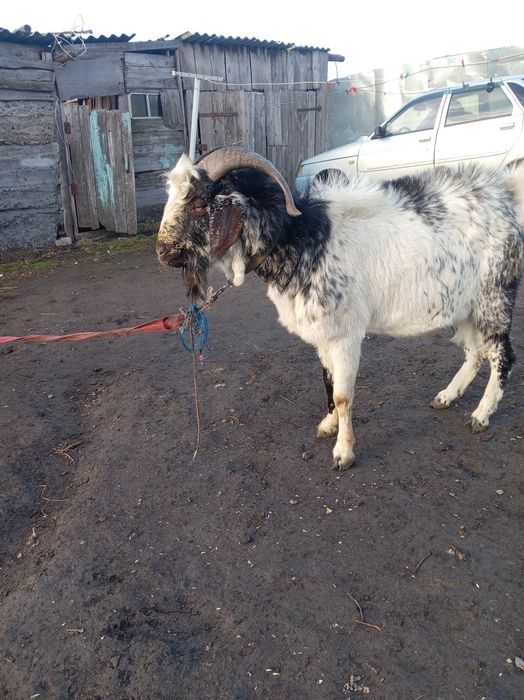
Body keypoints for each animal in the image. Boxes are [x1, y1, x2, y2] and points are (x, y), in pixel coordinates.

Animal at [157, 147, 524, 469]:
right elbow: (329, 386)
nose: (162, 251)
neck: (303, 237)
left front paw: (343, 454)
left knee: (502, 354)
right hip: (464, 306)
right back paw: (447, 396)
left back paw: (481, 415)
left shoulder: (346, 334)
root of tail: (506, 198)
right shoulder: (325, 335)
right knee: (476, 352)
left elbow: (344, 395)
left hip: (494, 297)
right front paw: (328, 426)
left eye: (200, 200)